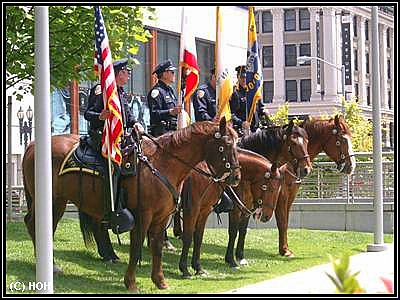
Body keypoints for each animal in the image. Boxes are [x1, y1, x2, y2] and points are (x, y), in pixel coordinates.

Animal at [23, 118, 241, 292]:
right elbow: (136, 247)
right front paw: (131, 282)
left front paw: (160, 280)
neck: (163, 164)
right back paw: (49, 264)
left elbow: (158, 247)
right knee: (39, 227)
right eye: (225, 145)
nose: (236, 177)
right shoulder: (145, 215)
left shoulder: (164, 217)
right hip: (53, 202)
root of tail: (33, 145)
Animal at [178, 149, 284, 278]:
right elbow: (232, 232)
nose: (266, 216)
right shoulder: (193, 210)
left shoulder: (207, 210)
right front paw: (231, 260)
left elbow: (200, 237)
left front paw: (199, 268)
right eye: (268, 187)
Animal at [276, 115, 356, 258]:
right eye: (341, 140)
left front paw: (285, 248)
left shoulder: (291, 194)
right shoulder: (282, 194)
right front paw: (284, 250)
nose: (352, 165)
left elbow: (285, 220)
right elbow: (282, 221)